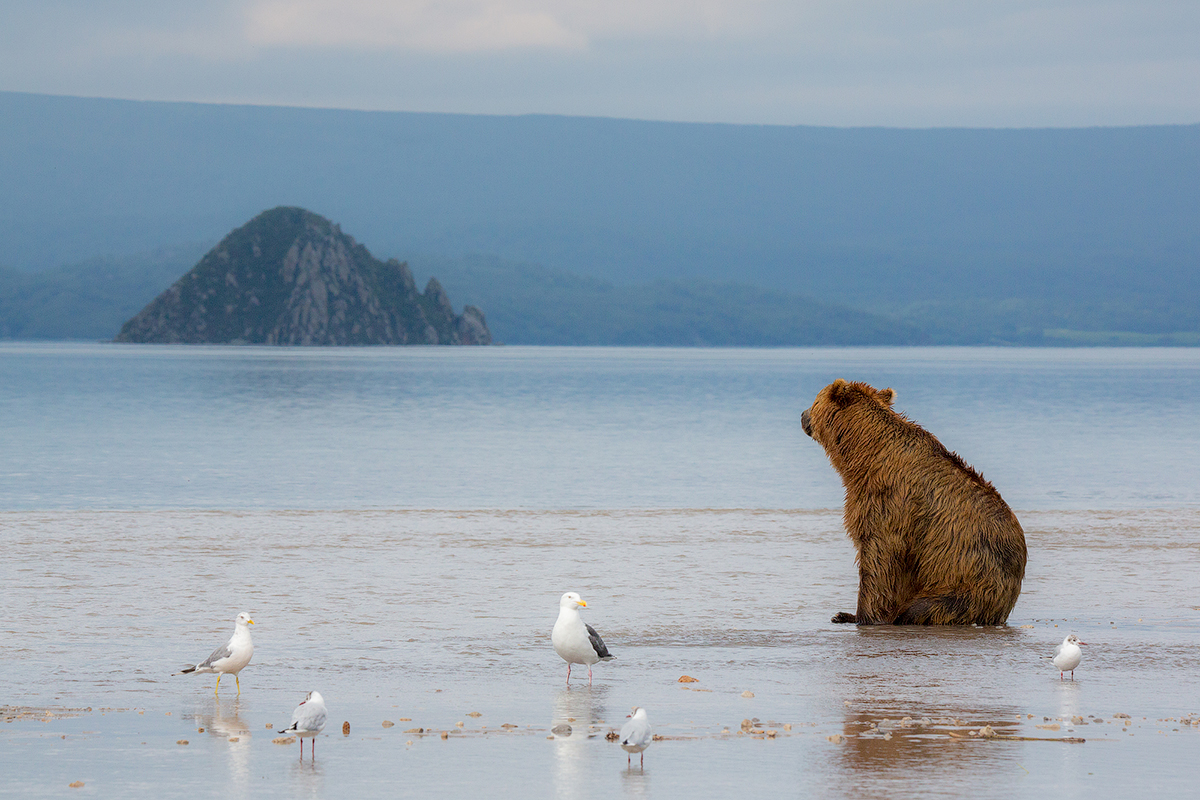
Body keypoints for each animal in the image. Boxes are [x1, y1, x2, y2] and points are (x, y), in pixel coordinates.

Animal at [801, 381, 1027, 623]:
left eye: (814, 400)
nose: (802, 414)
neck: (864, 454)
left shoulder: (888, 500)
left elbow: (879, 556)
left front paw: (856, 615)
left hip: (969, 583)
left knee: (926, 607)